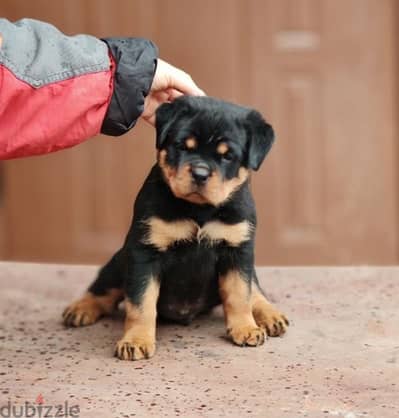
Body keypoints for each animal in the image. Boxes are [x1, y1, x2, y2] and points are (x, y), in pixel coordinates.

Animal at [62, 96, 290, 360]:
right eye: (182, 146)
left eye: (228, 156)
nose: (200, 173)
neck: (199, 209)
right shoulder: (144, 252)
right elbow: (141, 302)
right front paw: (135, 341)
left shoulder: (238, 250)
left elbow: (240, 293)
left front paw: (245, 328)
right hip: (120, 260)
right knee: (104, 288)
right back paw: (81, 308)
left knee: (255, 289)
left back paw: (269, 315)